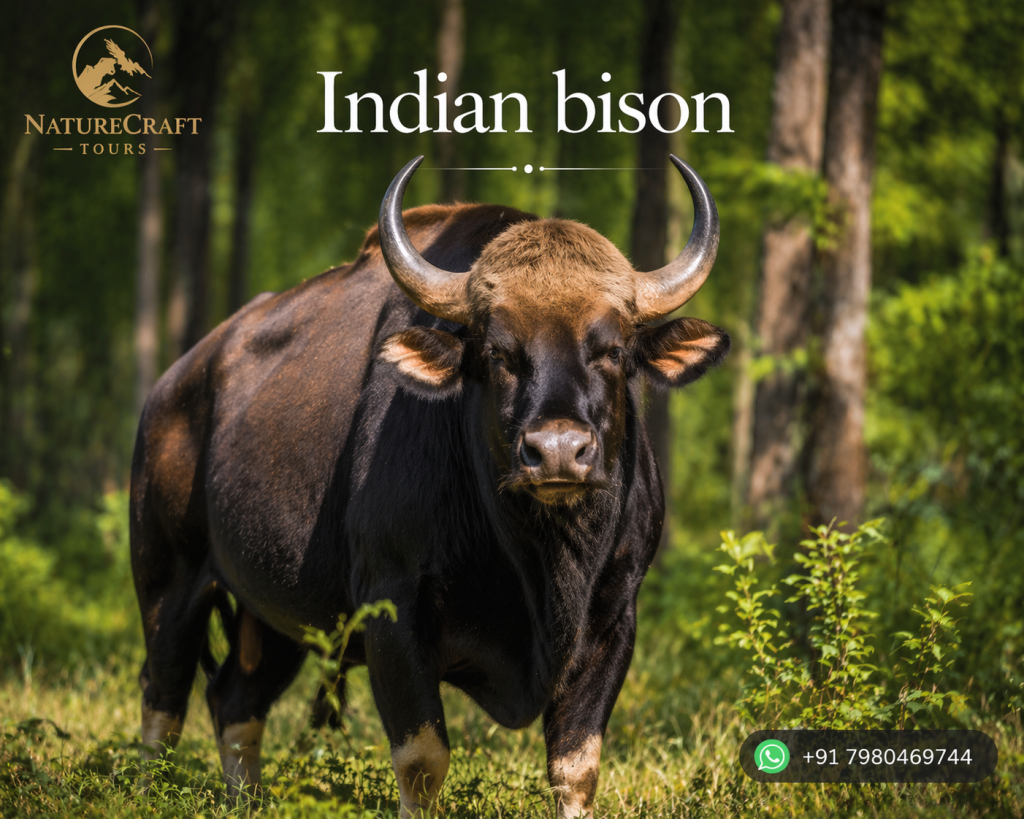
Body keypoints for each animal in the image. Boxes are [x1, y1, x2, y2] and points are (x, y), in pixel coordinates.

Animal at [130, 155, 729, 818]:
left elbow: (577, 768)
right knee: (163, 701)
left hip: (276, 611)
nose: (556, 452)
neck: (538, 560)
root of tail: (174, 385)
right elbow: (422, 761)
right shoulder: (393, 608)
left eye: (614, 351)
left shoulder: (614, 616)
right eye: (497, 353)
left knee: (236, 701)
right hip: (167, 578)